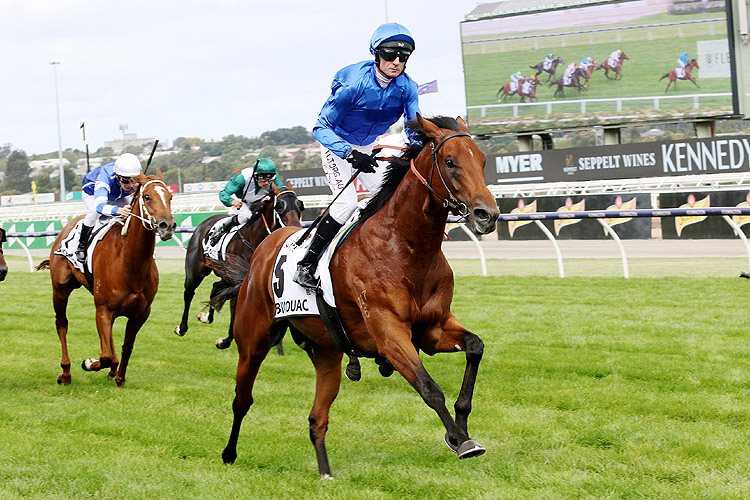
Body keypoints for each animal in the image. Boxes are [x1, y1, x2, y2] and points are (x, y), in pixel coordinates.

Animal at [37, 172, 176, 386]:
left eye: (170, 197)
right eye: (147, 197)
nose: (167, 225)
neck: (129, 261)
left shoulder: (141, 313)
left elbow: (126, 347)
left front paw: (120, 377)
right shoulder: (103, 309)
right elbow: (104, 356)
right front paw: (88, 363)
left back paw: (112, 370)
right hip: (60, 290)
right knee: (62, 324)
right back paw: (66, 372)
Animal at [175, 182, 304, 350]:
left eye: (300, 205)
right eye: (279, 206)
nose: (295, 229)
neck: (254, 239)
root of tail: (204, 223)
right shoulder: (240, 281)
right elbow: (235, 307)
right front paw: (227, 339)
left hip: (225, 275)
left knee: (215, 288)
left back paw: (206, 316)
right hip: (196, 271)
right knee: (189, 293)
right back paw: (182, 327)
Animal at [216, 114, 500, 476]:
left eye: (482, 159)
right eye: (450, 161)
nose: (487, 215)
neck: (404, 246)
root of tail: (264, 248)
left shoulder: (432, 328)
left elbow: (475, 347)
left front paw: (461, 426)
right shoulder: (389, 333)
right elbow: (429, 388)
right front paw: (460, 440)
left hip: (326, 352)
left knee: (317, 418)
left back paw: (325, 473)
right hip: (253, 340)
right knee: (242, 398)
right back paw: (229, 453)